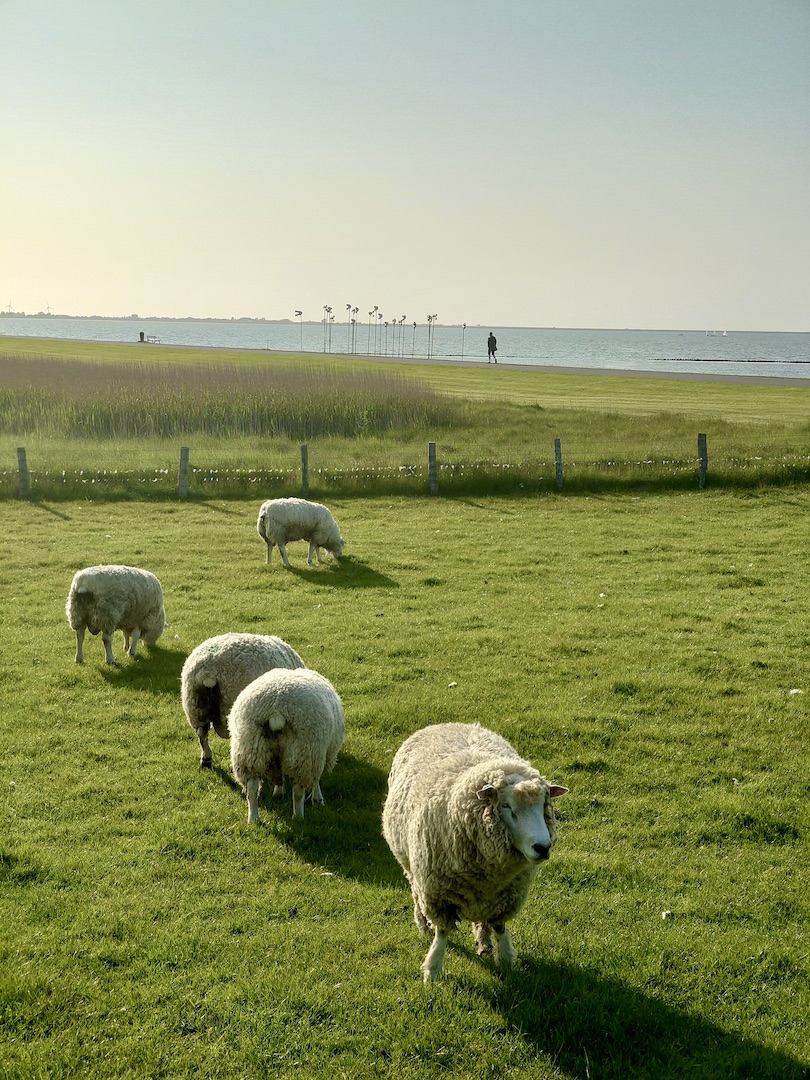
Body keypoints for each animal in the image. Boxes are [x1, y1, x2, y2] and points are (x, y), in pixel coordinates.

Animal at [229, 667, 345, 823]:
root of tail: (276, 709)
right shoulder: (321, 754)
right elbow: (316, 781)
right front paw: (318, 799)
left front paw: (278, 792)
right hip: (305, 752)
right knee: (298, 792)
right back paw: (298, 817)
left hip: (250, 749)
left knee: (252, 789)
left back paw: (253, 818)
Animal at [381, 722, 568, 983]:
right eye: (506, 805)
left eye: (544, 804)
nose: (542, 846)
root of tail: (447, 723)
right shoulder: (438, 894)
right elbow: (443, 932)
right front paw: (433, 970)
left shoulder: (505, 897)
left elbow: (500, 927)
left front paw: (506, 960)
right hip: (411, 867)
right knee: (416, 894)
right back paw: (423, 925)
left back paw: (484, 942)